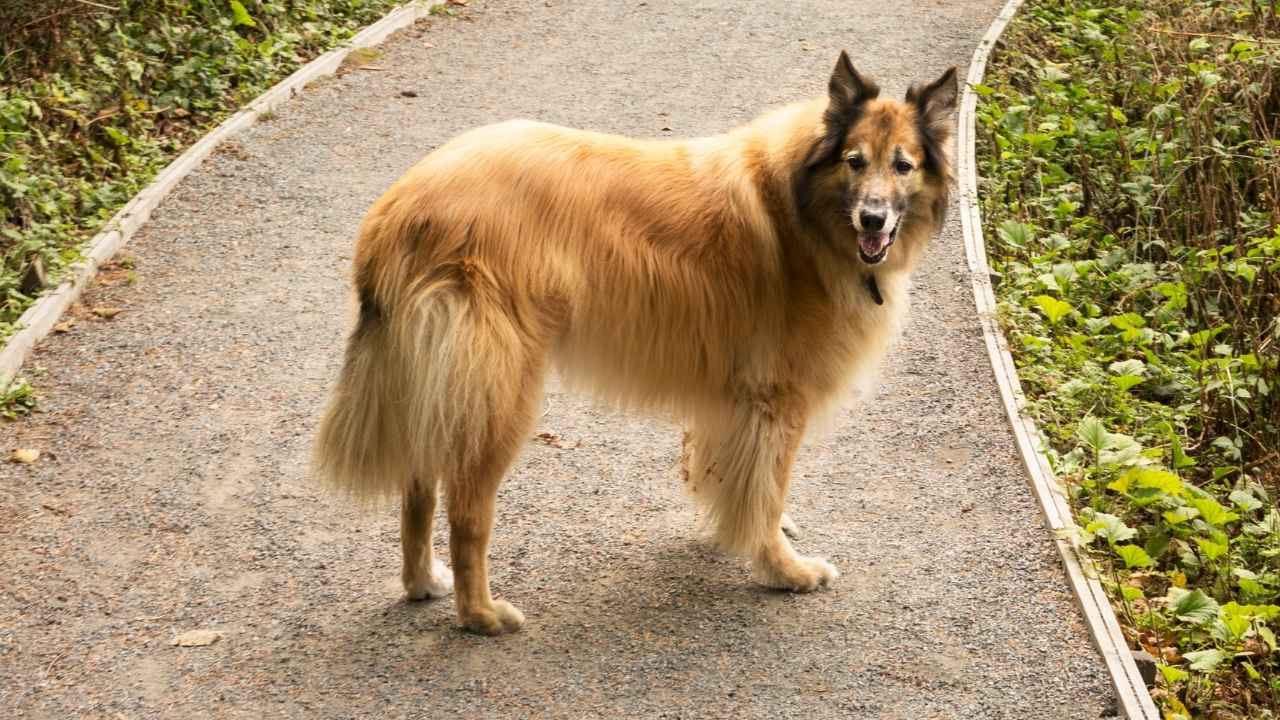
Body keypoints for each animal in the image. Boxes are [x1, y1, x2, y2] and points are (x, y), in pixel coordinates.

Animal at [317, 51, 962, 632]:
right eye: (856, 161)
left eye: (903, 166)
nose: (873, 221)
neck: (804, 205)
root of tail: (395, 211)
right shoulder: (777, 400)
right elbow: (766, 488)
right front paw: (785, 570)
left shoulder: (730, 398)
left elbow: (734, 479)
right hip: (500, 395)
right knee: (466, 511)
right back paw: (480, 614)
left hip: (436, 382)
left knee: (418, 487)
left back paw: (422, 581)